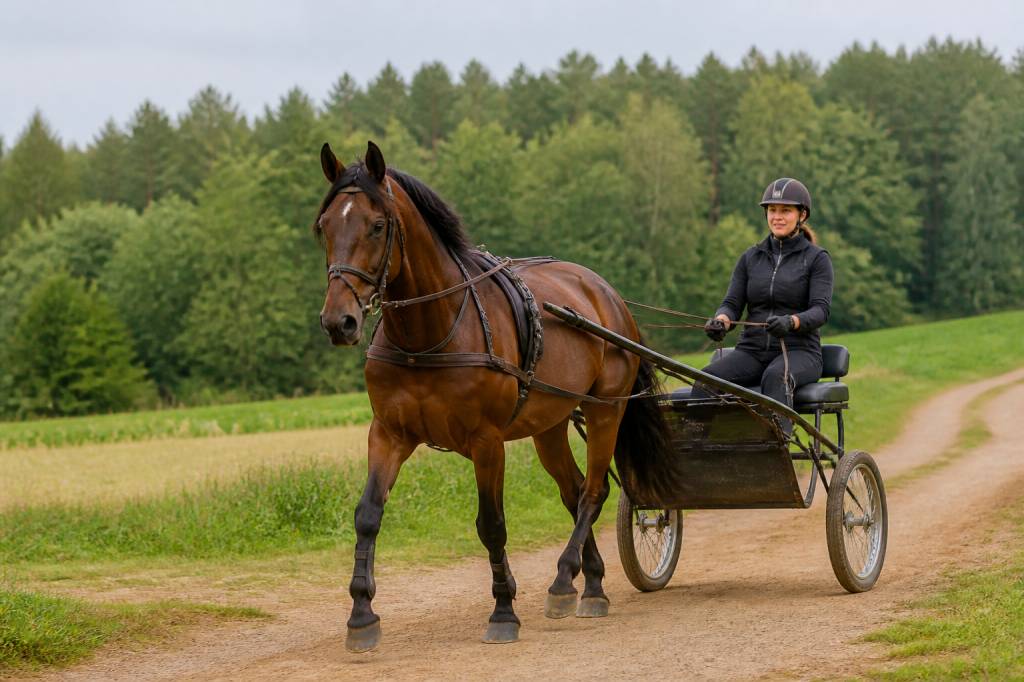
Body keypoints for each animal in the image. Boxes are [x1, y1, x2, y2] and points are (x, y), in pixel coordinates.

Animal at [315, 140, 670, 651]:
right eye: (324, 225)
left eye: (377, 225)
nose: (338, 321)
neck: (430, 333)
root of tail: (608, 294)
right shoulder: (388, 433)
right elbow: (367, 515)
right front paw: (361, 614)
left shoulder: (487, 442)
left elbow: (492, 524)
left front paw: (503, 610)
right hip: (549, 426)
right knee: (574, 490)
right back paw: (591, 585)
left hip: (606, 412)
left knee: (593, 492)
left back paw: (563, 581)